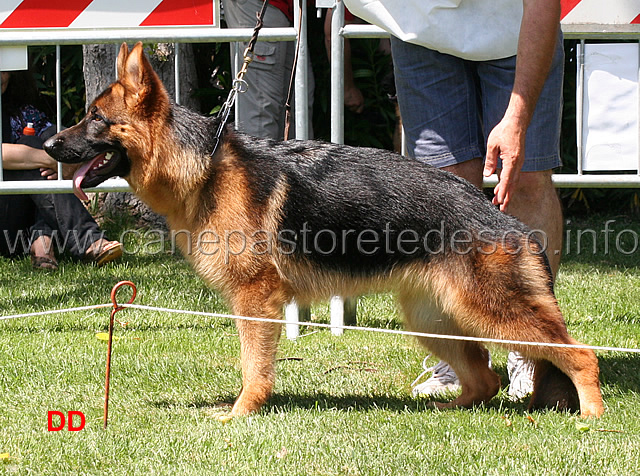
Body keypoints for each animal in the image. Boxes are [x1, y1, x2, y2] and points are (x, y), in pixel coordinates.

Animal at [43, 43, 604, 416]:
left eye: (95, 118)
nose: (48, 145)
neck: (201, 167)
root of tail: (504, 218)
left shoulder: (256, 300)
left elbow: (253, 366)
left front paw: (242, 413)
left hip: (491, 313)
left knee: (580, 355)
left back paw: (592, 421)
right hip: (434, 318)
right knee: (484, 378)